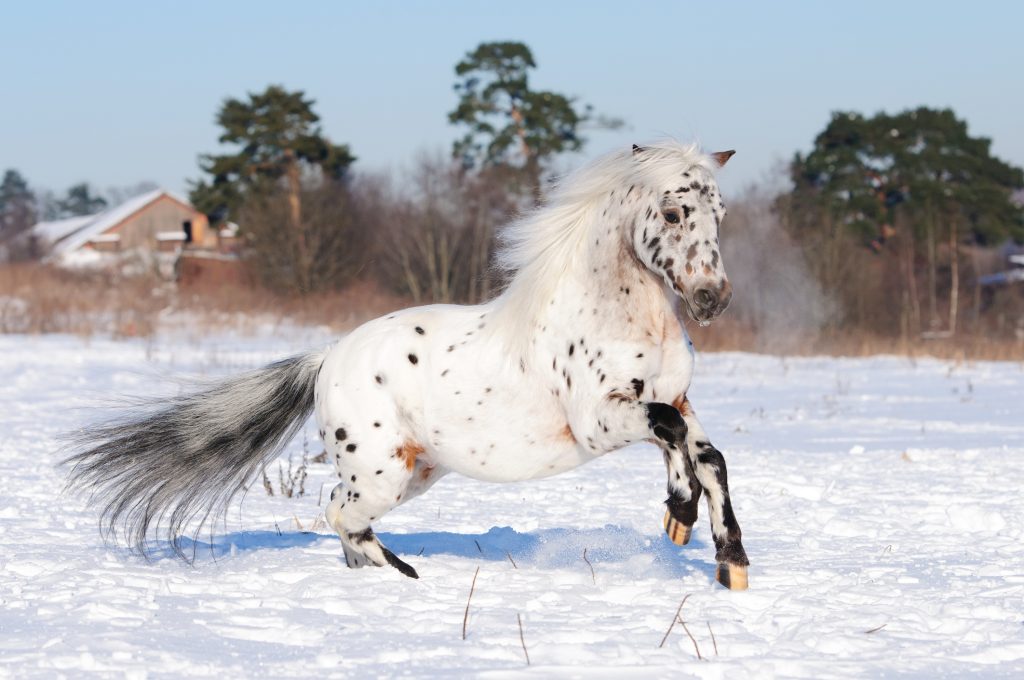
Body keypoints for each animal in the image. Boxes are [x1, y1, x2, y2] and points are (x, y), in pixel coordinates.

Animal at [66, 141, 750, 590]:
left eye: (720, 215)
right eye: (672, 213)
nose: (712, 299)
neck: (622, 318)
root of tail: (326, 357)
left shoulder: (676, 399)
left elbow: (704, 451)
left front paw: (723, 556)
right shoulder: (599, 422)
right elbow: (671, 434)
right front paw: (684, 517)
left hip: (412, 472)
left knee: (341, 517)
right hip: (381, 474)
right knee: (338, 514)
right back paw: (403, 574)